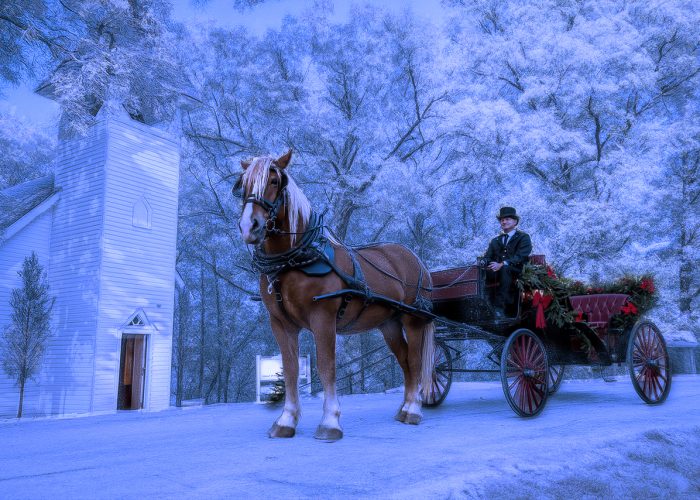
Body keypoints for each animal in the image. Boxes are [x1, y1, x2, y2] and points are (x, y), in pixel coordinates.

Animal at [235, 149, 435, 441]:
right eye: (243, 184)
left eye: (274, 181)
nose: (249, 226)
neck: (292, 263)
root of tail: (414, 258)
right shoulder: (281, 323)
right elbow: (291, 368)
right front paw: (286, 420)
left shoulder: (323, 318)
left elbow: (326, 365)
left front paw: (330, 422)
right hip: (389, 324)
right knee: (406, 362)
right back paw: (404, 408)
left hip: (413, 319)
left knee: (416, 361)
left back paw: (413, 410)